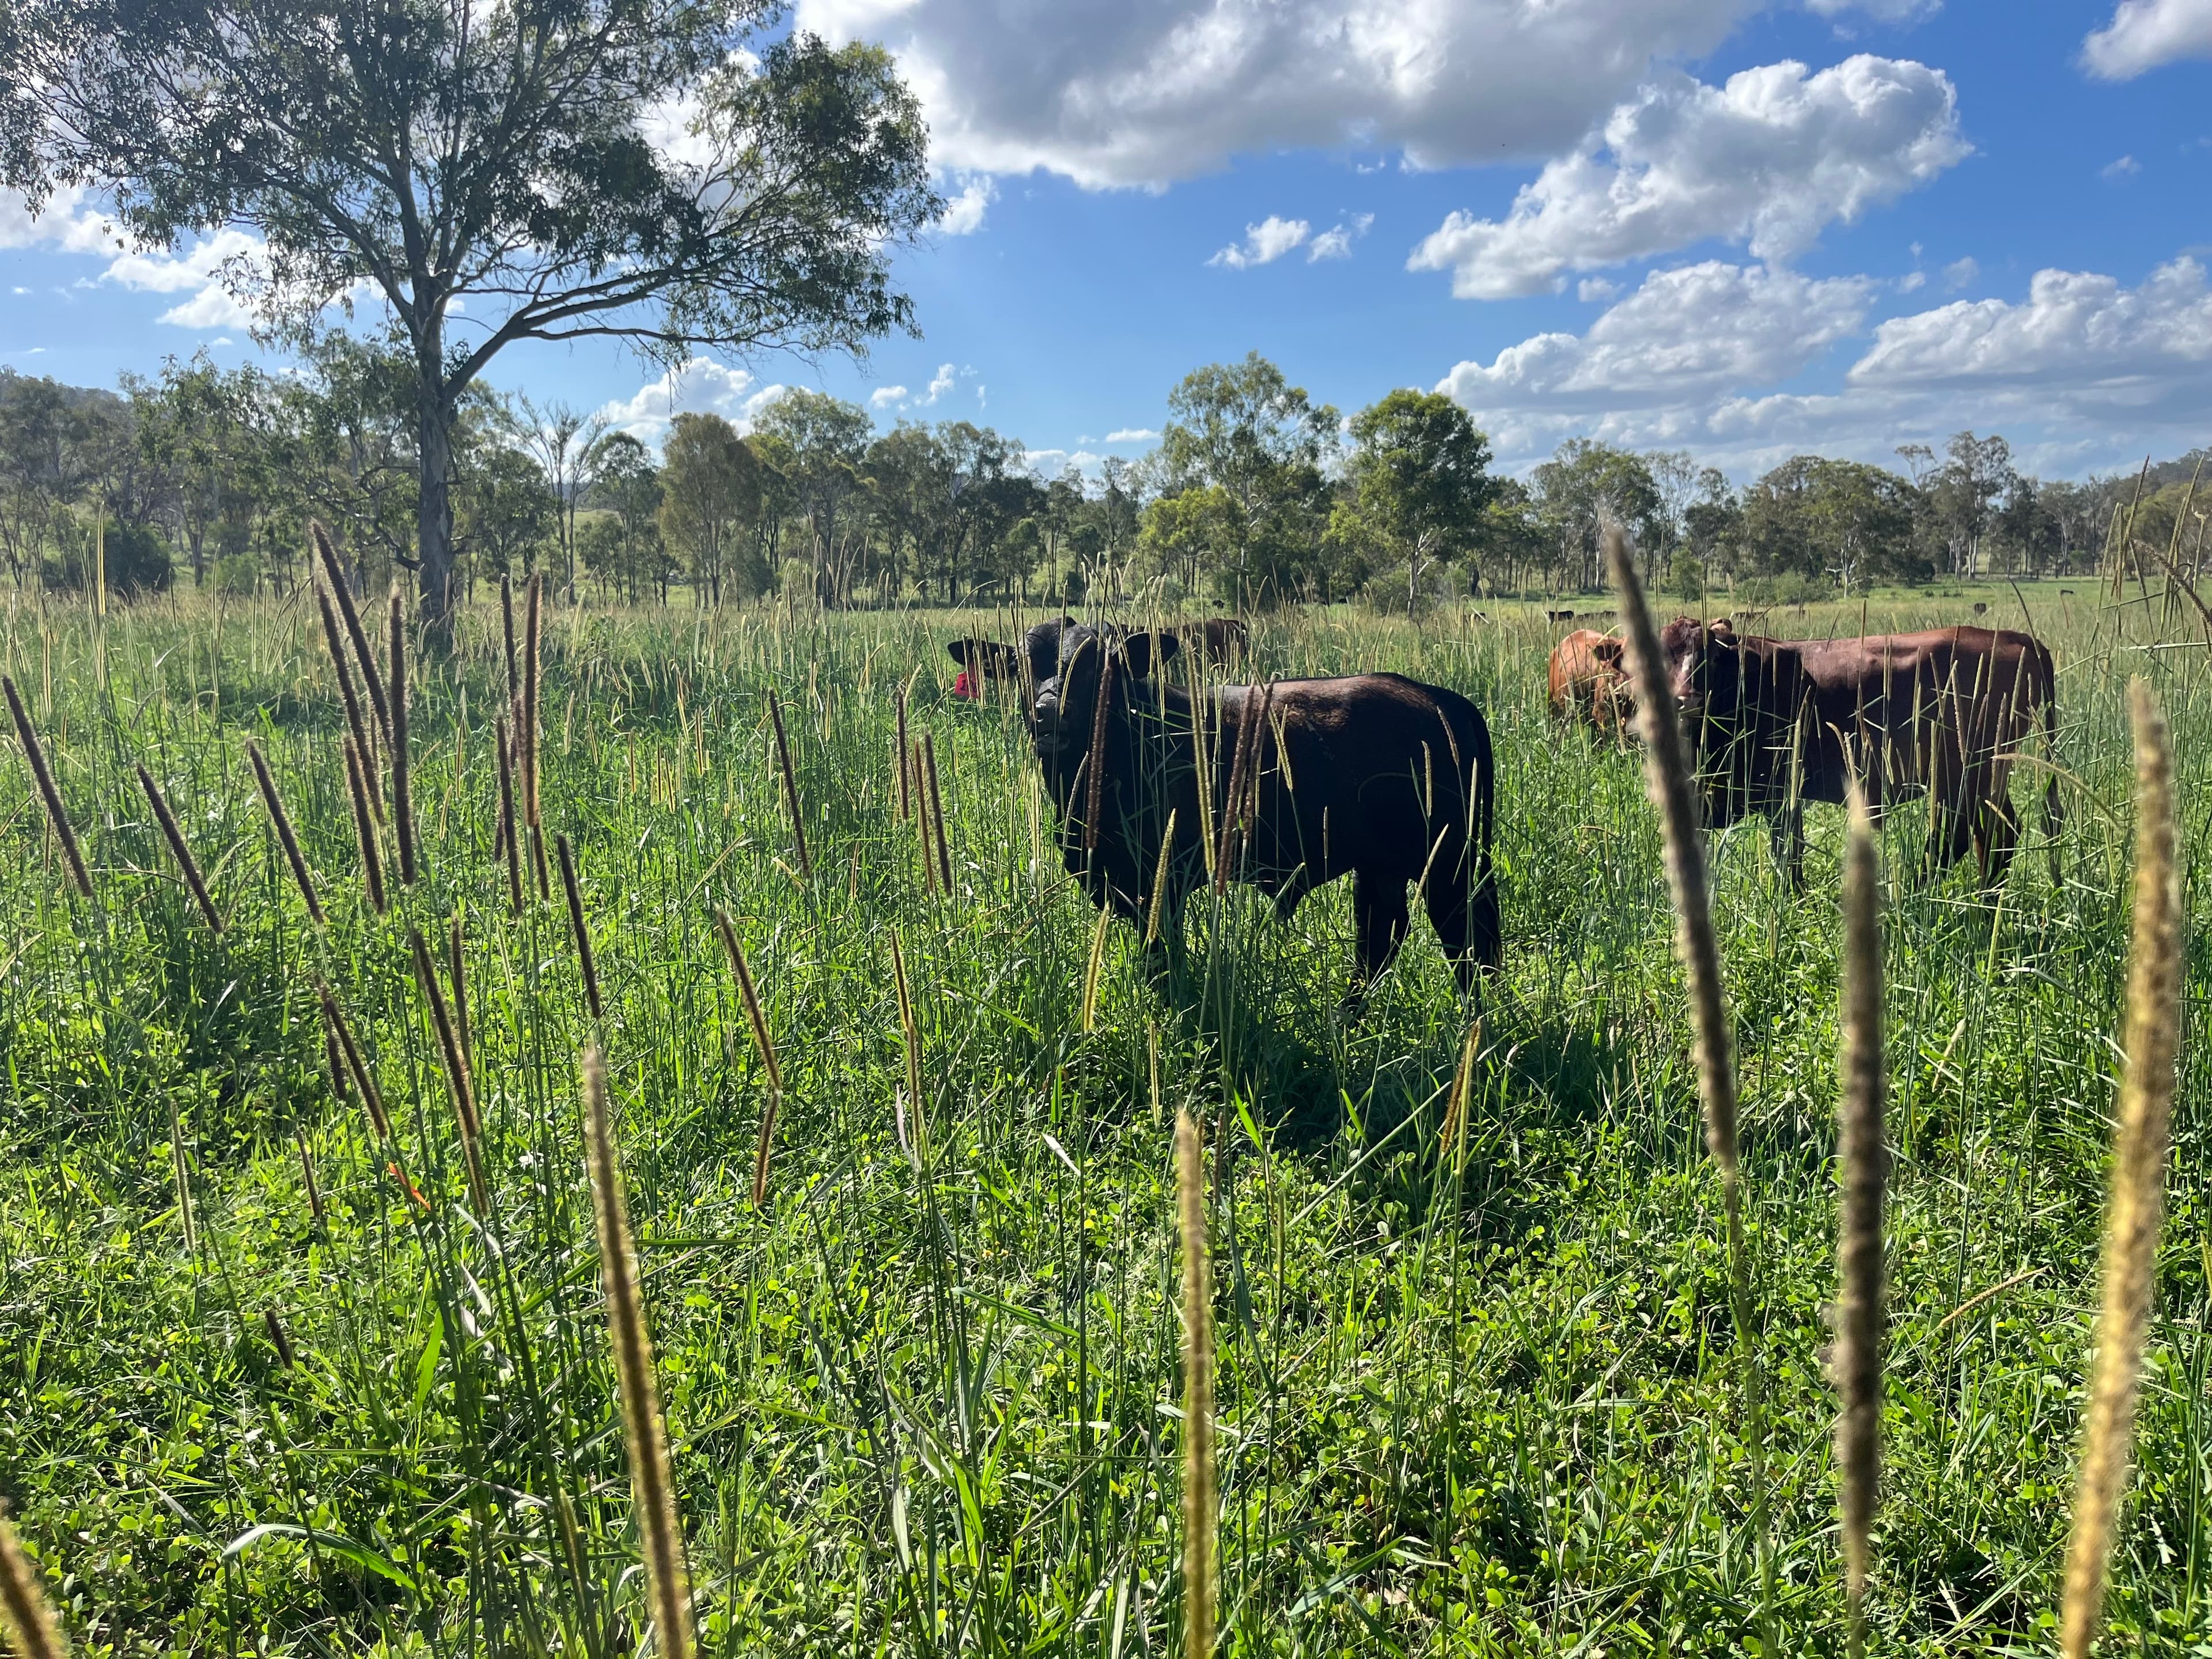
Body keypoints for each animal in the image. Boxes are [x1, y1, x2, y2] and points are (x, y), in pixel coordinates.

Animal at [1022, 621, 1499, 1002]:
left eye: (1094, 666)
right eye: (1027, 663)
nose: (1049, 713)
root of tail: (1438, 698)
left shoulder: (1162, 884)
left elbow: (1163, 961)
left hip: (1447, 865)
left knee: (1468, 938)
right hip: (1383, 867)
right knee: (1382, 938)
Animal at [1654, 620, 2062, 889]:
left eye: (1709, 658)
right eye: (1658, 660)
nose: (1683, 700)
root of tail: (2008, 637)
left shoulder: (1780, 791)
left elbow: (1788, 853)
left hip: (1965, 774)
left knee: (1968, 835)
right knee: (1995, 835)